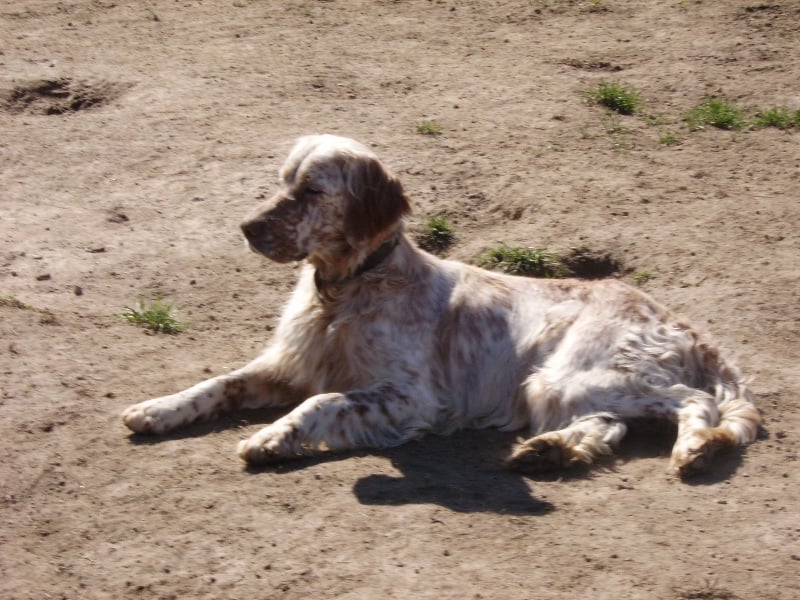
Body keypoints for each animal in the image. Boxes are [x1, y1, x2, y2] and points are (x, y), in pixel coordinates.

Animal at [122, 134, 760, 476]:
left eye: (311, 191)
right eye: (282, 182)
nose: (248, 228)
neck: (343, 294)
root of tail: (685, 326)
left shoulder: (410, 396)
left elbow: (321, 402)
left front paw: (273, 437)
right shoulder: (287, 366)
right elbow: (216, 383)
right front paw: (157, 408)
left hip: (580, 375)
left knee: (695, 402)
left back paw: (694, 448)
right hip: (557, 387)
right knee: (607, 426)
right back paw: (549, 451)